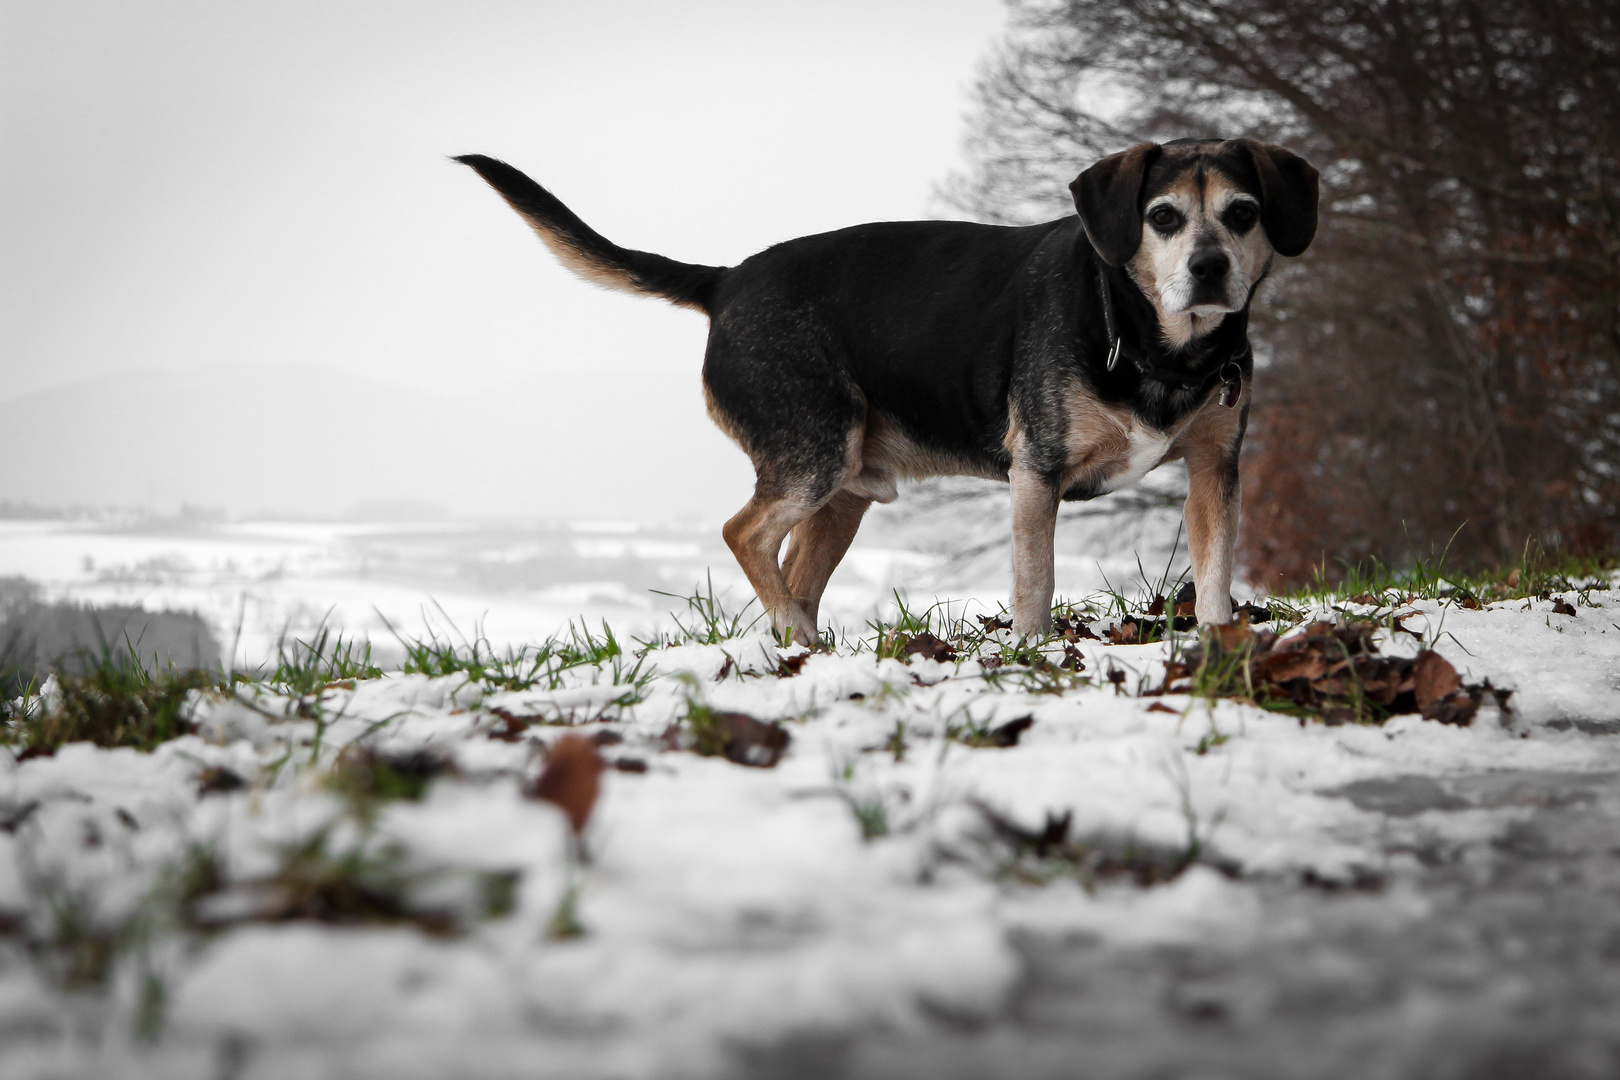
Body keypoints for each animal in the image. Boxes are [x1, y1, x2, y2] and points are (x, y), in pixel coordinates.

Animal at [456, 136, 1315, 641]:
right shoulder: (1036, 474)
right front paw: (1033, 653)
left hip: (843, 496)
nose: (1210, 268)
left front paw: (1217, 648)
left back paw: (802, 647)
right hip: (814, 455)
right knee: (744, 533)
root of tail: (726, 280)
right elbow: (1034, 583)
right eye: (1162, 217)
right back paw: (796, 637)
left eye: (1243, 213)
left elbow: (1214, 574)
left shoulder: (1215, 469)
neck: (1154, 343)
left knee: (792, 567)